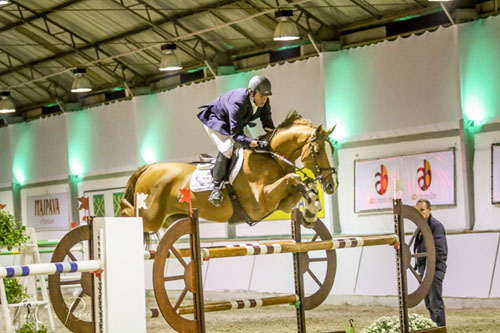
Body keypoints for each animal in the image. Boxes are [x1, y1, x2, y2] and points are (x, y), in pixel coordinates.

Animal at [120, 111, 338, 231]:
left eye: (332, 149)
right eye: (318, 151)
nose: (331, 185)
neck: (270, 158)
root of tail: (149, 168)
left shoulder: (281, 204)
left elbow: (301, 185)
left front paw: (310, 213)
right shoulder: (261, 201)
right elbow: (292, 178)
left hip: (169, 218)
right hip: (150, 217)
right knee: (129, 213)